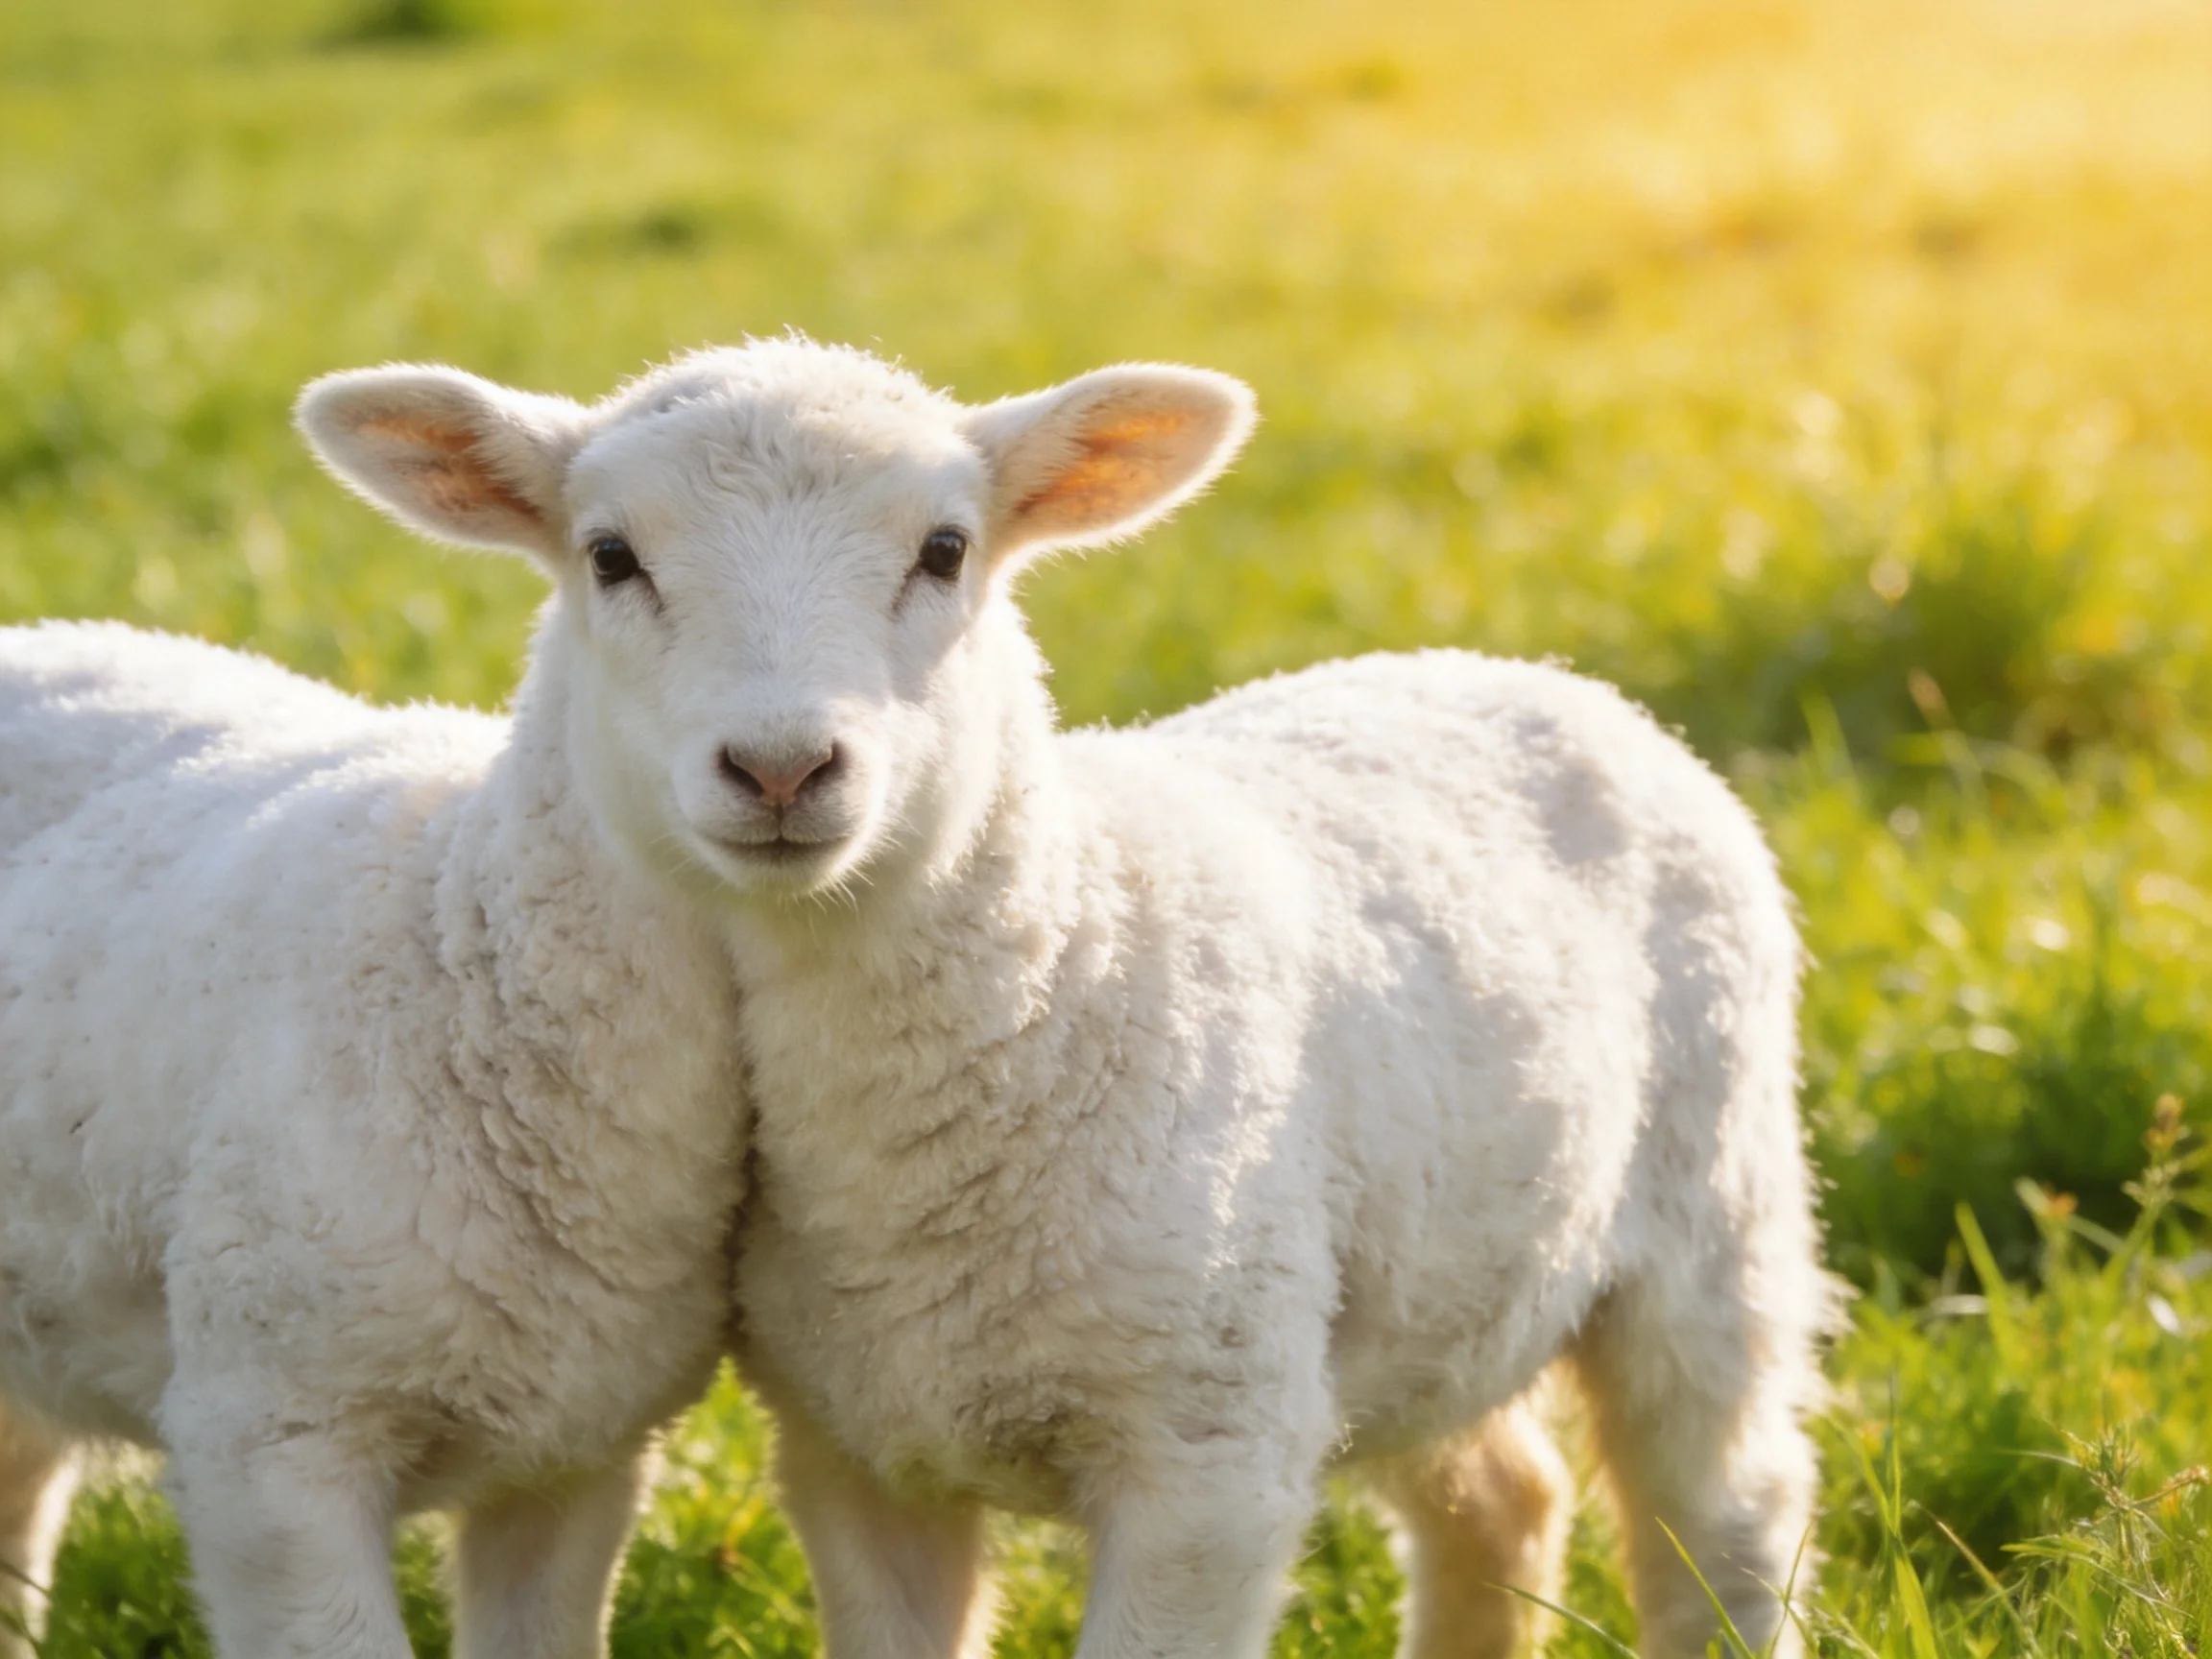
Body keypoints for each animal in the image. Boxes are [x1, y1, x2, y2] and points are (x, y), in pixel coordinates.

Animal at [442, 336, 1825, 1659]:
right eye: (610, 557)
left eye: (945, 550)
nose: (782, 768)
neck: (1067, 966)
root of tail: (1541, 674)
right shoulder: (861, 1452)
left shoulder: (1210, 1460)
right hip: (1425, 1297)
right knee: (1506, 1493)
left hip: (1713, 1209)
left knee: (1729, 1506)